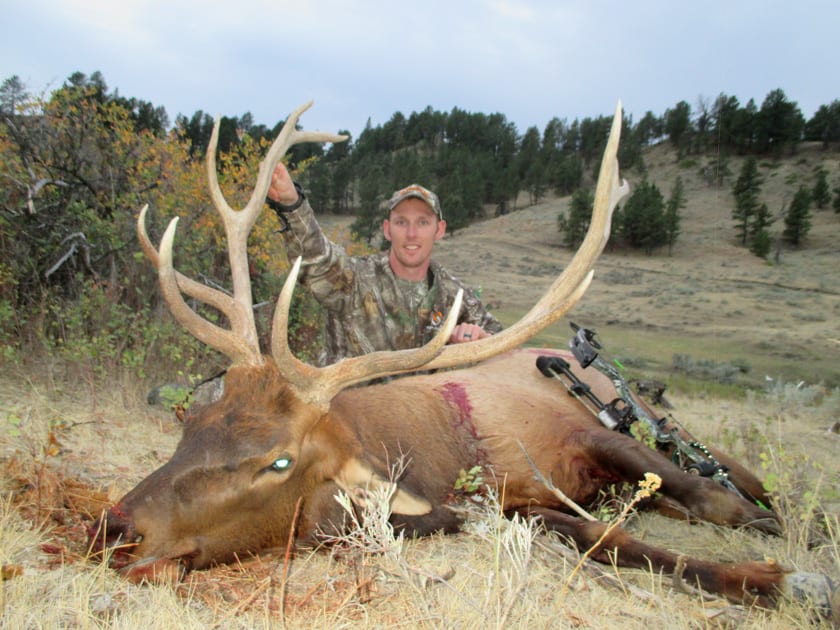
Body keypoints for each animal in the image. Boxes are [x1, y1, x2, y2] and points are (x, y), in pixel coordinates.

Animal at [90, 101, 836, 616]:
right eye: (192, 425)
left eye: (279, 461)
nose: (116, 528)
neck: (440, 457)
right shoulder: (513, 504)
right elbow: (606, 540)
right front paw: (761, 577)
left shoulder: (591, 434)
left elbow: (719, 503)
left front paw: (787, 570)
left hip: (664, 423)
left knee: (739, 478)